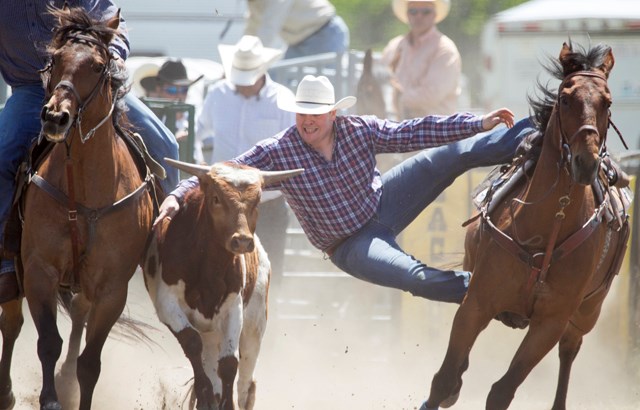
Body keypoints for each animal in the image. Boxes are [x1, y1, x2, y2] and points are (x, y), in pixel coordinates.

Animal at [0, 6, 154, 410]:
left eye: (99, 66)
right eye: (54, 59)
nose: (55, 117)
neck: (84, 190)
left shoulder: (112, 288)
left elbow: (90, 363)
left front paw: (69, 388)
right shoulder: (39, 270)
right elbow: (47, 342)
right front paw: (50, 399)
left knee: (78, 324)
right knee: (12, 321)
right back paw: (6, 392)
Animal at [420, 41, 632, 410]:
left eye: (607, 102)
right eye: (566, 98)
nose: (585, 162)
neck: (545, 228)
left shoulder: (550, 323)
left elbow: (502, 391)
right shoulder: (476, 303)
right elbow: (443, 379)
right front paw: (449, 385)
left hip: (588, 312)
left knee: (569, 352)